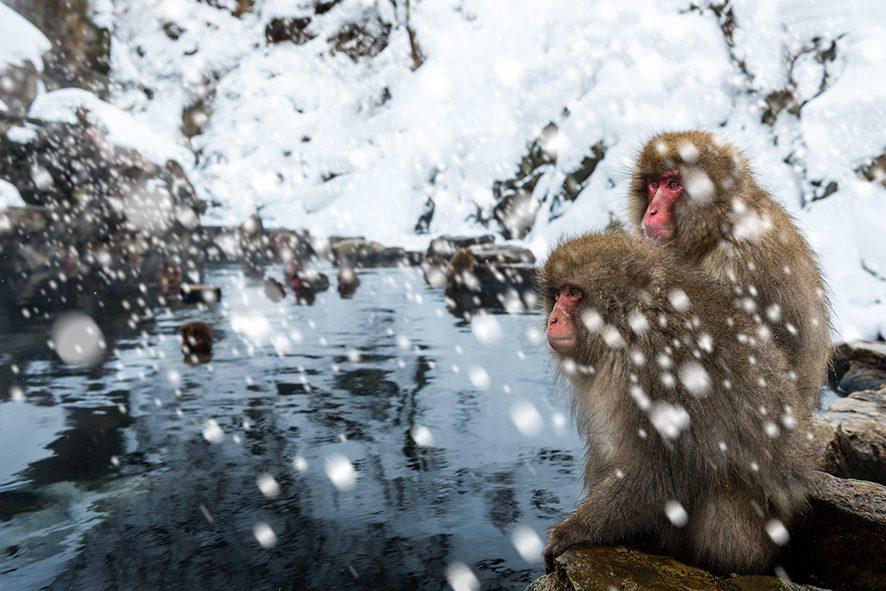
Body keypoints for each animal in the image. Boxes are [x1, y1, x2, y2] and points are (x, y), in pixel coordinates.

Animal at [539, 232, 813, 575]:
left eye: (573, 292)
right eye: (557, 293)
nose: (553, 318)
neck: (629, 325)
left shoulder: (662, 369)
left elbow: (658, 474)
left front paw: (572, 532)